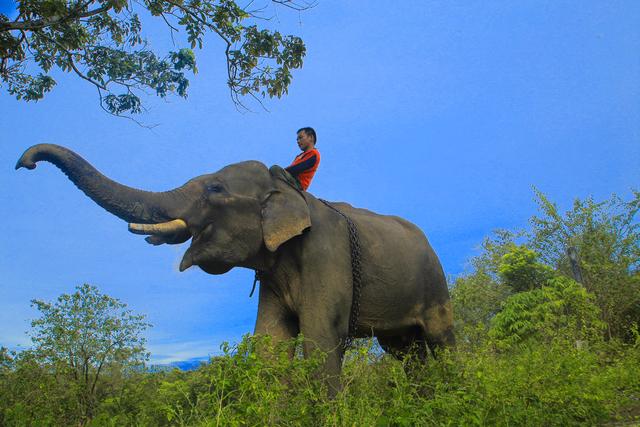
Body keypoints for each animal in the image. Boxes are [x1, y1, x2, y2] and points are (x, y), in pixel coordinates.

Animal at [16, 145, 456, 394]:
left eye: (214, 189)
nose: (24, 164)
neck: (288, 191)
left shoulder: (326, 254)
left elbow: (319, 340)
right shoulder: (273, 275)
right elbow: (270, 347)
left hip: (435, 282)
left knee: (441, 342)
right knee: (406, 353)